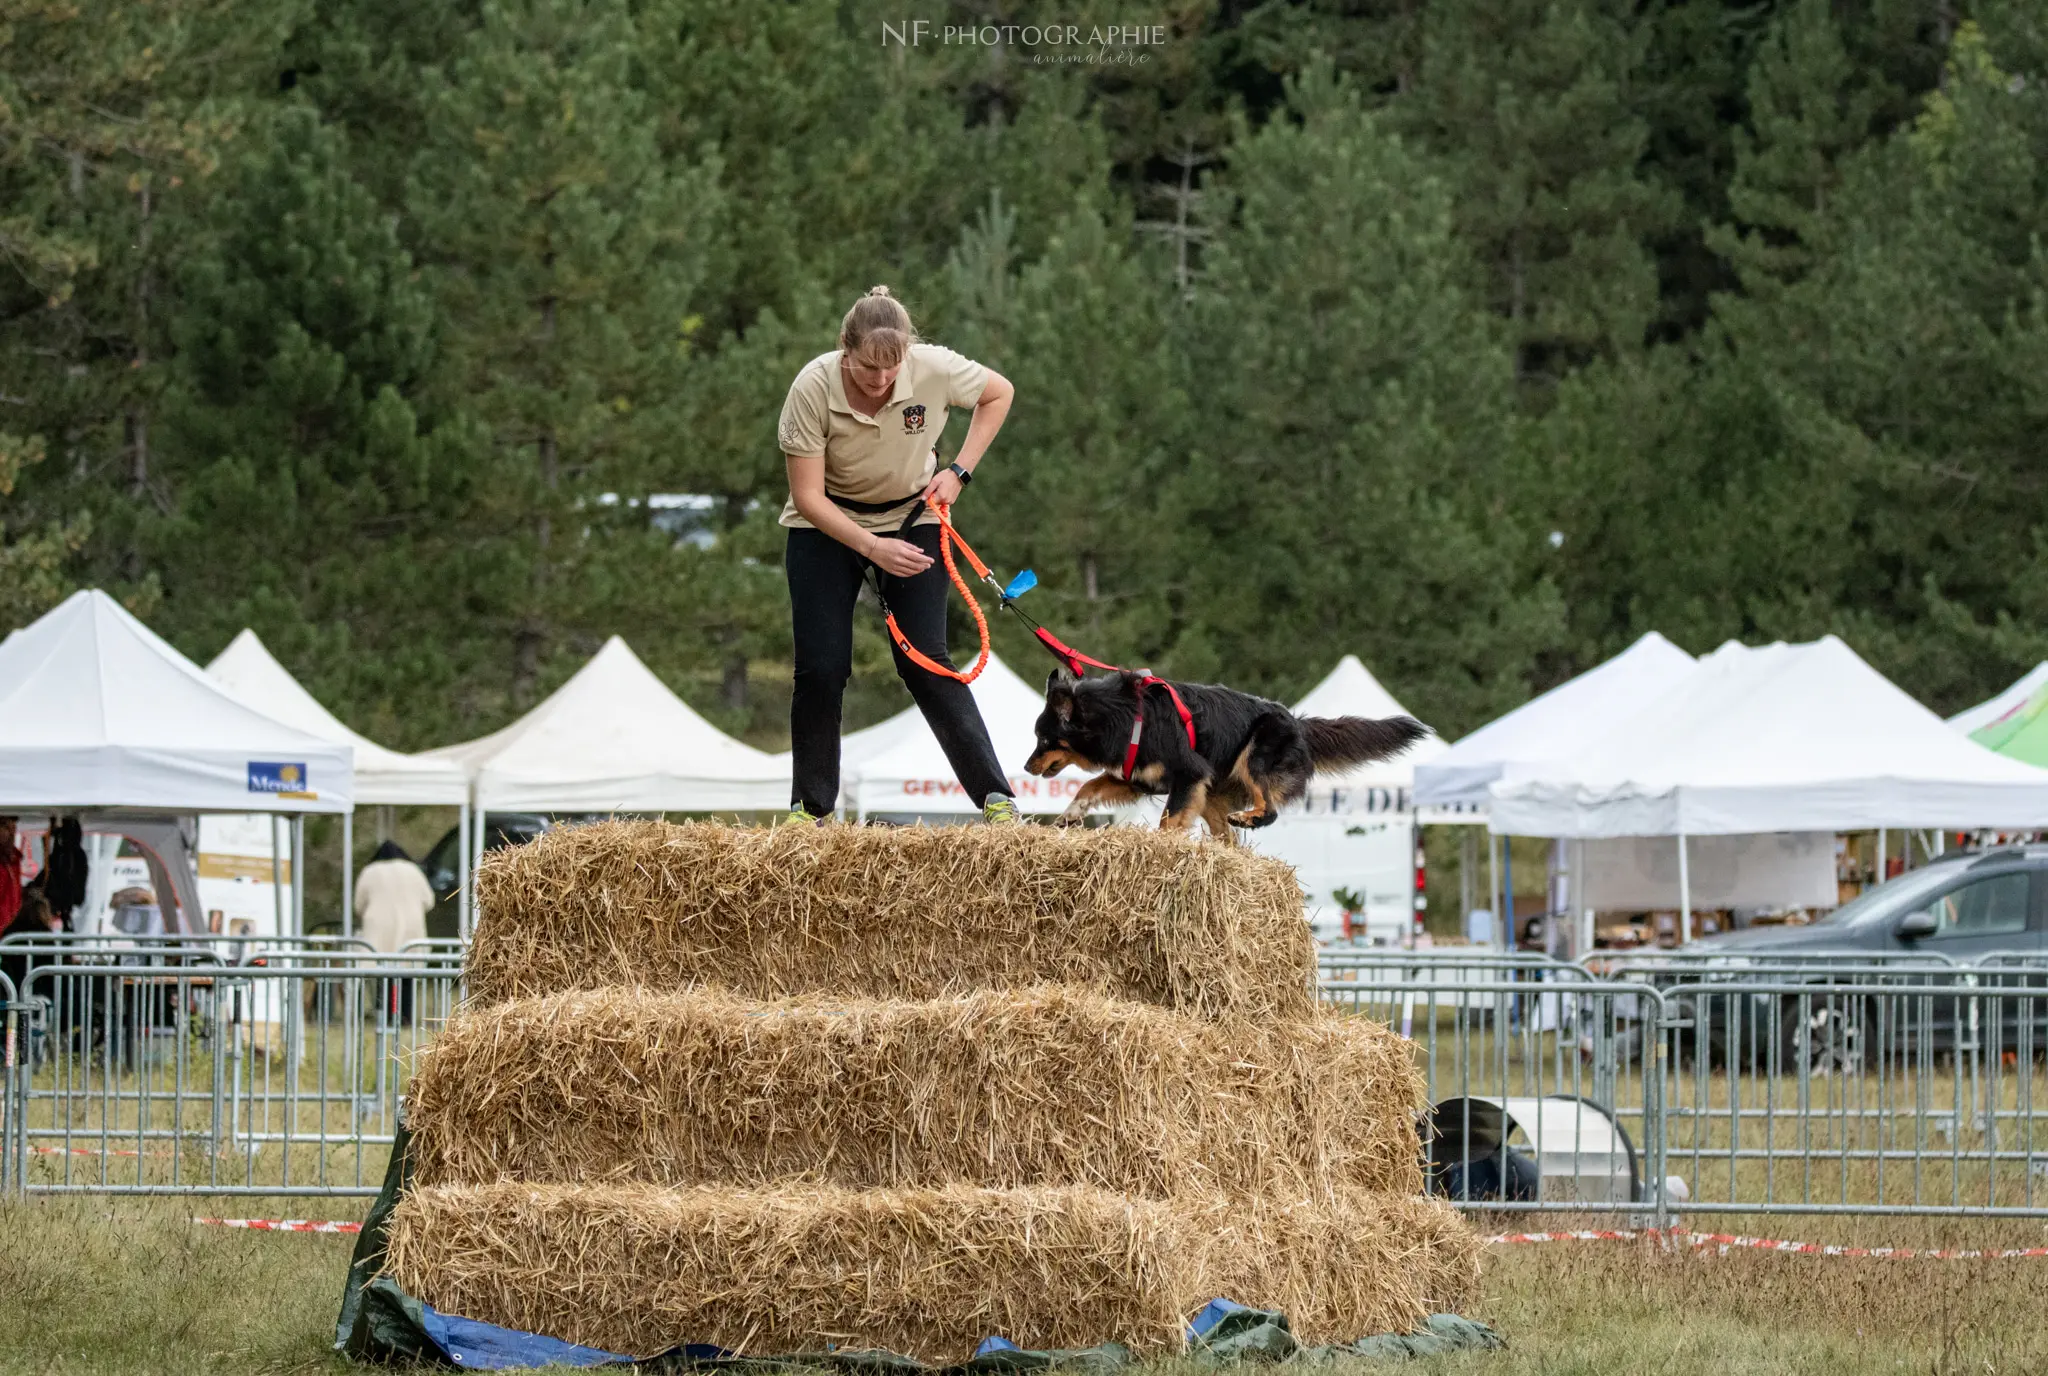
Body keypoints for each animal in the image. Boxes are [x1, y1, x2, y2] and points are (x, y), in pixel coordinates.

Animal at [1019, 667, 1425, 843]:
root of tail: (1298, 722)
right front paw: (1069, 817)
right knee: (1228, 839)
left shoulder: (1187, 775)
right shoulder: (1135, 779)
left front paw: (1163, 845)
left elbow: (1169, 819)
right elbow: (1087, 788)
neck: (1124, 717)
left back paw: (1250, 818)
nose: (1026, 765)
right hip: (1213, 795)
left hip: (1253, 759)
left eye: (1043, 739)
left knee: (1270, 810)